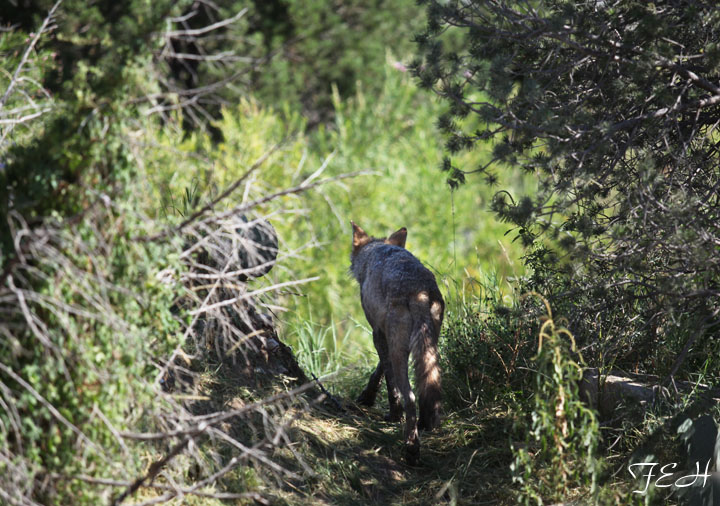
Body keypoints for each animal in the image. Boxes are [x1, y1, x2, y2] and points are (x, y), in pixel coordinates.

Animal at [350, 221, 444, 464]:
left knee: (410, 397)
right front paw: (367, 397)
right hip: (429, 348)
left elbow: (390, 383)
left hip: (401, 350)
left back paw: (411, 449)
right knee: (428, 389)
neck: (373, 254)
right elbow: (380, 370)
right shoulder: (386, 337)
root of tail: (420, 291)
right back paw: (426, 424)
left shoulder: (377, 334)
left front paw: (393, 415)